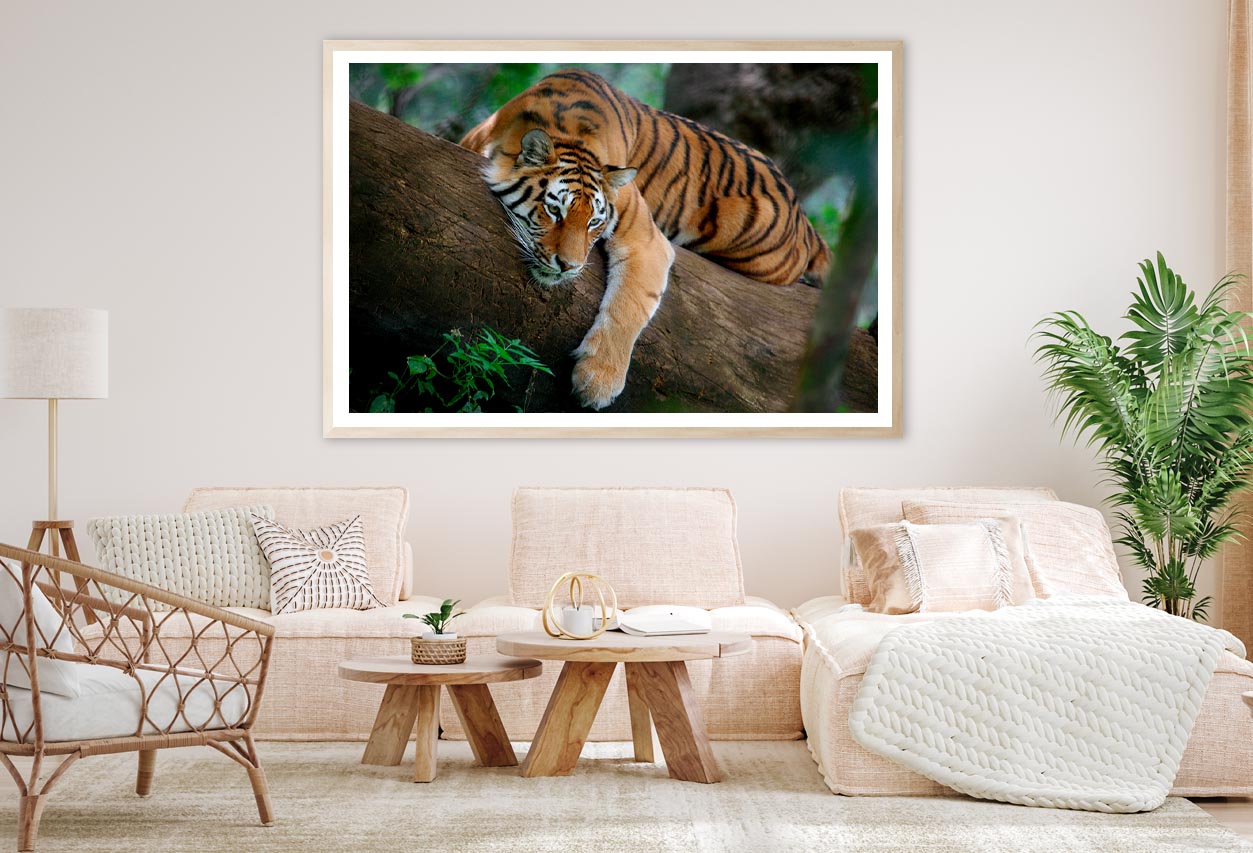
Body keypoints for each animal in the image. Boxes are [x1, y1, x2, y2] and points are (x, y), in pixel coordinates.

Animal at [460, 68, 830, 410]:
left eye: (594, 222)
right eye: (554, 211)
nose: (569, 266)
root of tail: (803, 217)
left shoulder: (646, 239)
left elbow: (628, 307)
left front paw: (597, 382)